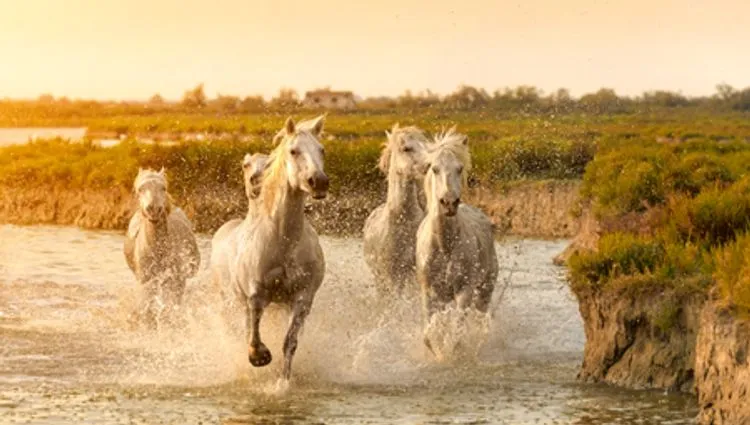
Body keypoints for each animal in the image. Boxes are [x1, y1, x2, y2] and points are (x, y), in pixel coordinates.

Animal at [126, 167, 203, 326]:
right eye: (140, 189)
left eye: (163, 188)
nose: (154, 209)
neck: (158, 249)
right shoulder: (147, 281)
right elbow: (148, 308)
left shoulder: (176, 280)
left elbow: (170, 307)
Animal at [212, 115, 328, 380]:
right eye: (294, 151)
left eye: (321, 150)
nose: (319, 182)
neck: (284, 242)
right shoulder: (256, 295)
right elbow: (253, 334)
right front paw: (259, 357)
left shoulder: (302, 298)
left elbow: (290, 343)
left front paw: (283, 380)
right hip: (231, 301)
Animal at [418, 127, 500, 352]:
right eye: (434, 168)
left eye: (459, 168)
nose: (449, 203)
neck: (445, 246)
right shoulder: (430, 292)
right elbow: (429, 336)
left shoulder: (465, 291)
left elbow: (457, 337)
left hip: (485, 289)